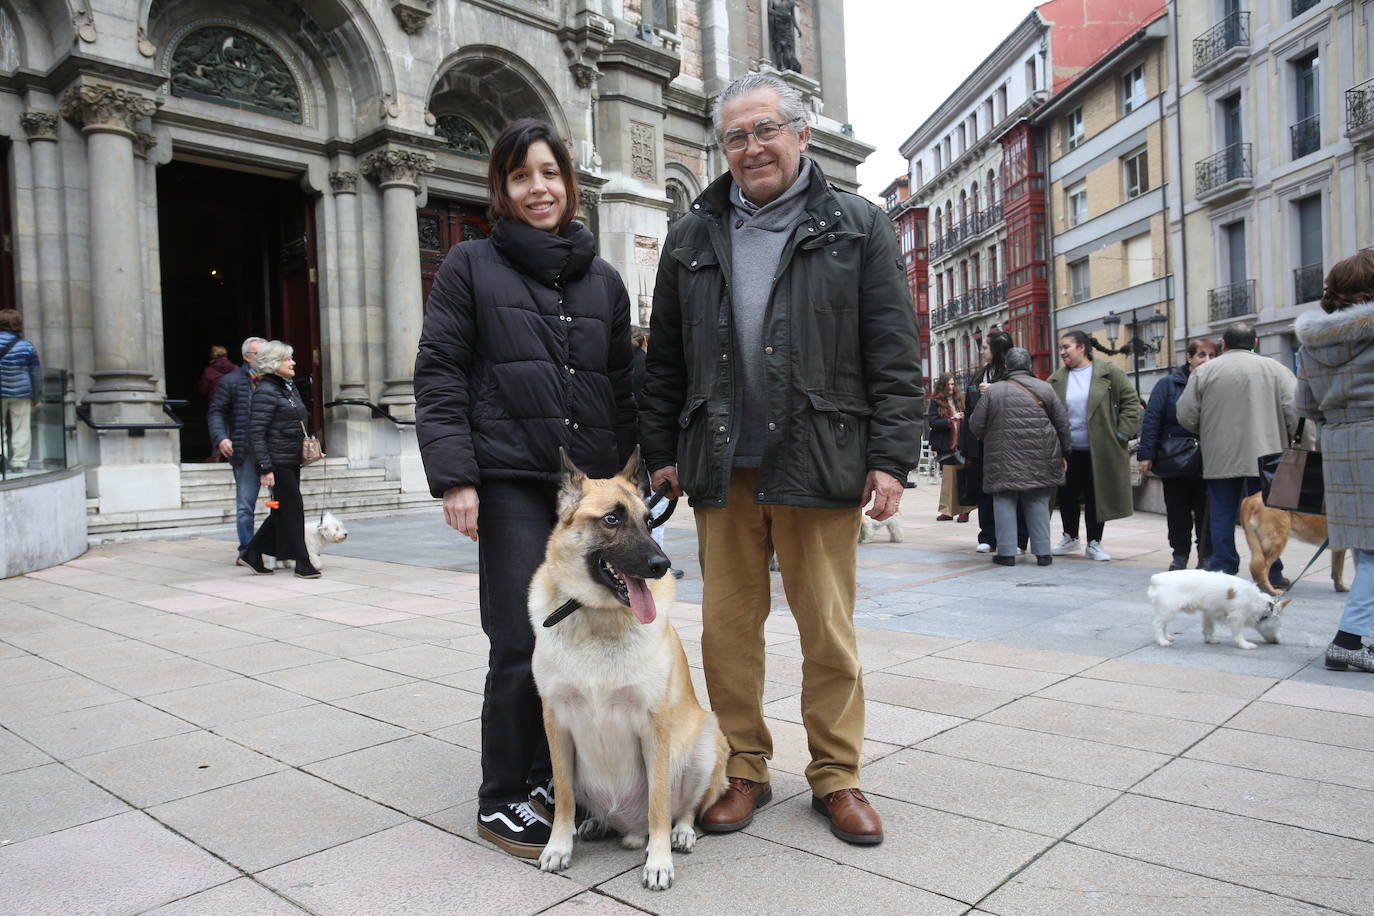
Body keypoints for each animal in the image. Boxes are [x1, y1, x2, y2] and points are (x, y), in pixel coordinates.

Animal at [527, 447, 730, 889]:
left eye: (650, 522)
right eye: (612, 519)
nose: (661, 564)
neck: (597, 618)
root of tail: (628, 827)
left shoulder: (654, 726)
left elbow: (658, 803)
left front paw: (659, 861)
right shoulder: (556, 723)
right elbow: (563, 797)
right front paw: (559, 845)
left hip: (706, 740)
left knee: (683, 809)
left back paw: (679, 834)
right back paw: (597, 824)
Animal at [1148, 568, 1286, 648]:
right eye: (1277, 625)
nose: (1278, 641)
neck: (1254, 600)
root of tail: (1157, 579)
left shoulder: (1209, 613)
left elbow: (1208, 628)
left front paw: (1210, 640)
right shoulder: (1237, 617)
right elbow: (1238, 633)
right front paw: (1244, 644)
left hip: (1165, 611)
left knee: (1163, 625)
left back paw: (1166, 637)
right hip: (1169, 610)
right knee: (1157, 624)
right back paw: (1162, 641)